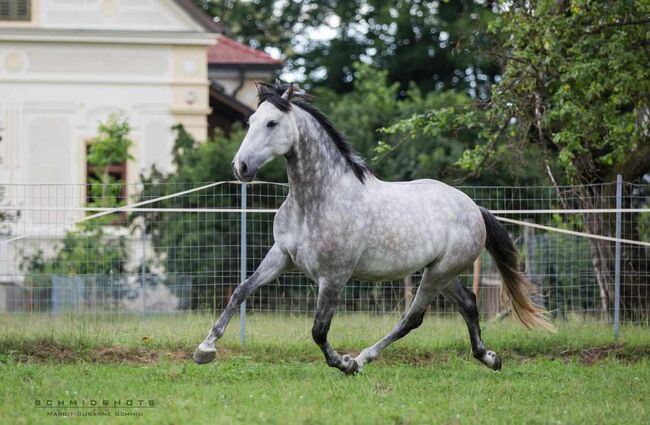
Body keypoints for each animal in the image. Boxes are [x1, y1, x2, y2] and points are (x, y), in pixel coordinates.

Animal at [194, 82, 552, 372]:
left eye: (272, 123)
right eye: (251, 122)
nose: (240, 167)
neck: (318, 199)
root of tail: (473, 207)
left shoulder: (334, 276)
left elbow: (318, 330)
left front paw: (344, 364)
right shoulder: (282, 256)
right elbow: (241, 290)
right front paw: (204, 349)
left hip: (438, 274)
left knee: (412, 318)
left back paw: (363, 357)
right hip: (442, 273)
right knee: (468, 304)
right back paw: (489, 358)